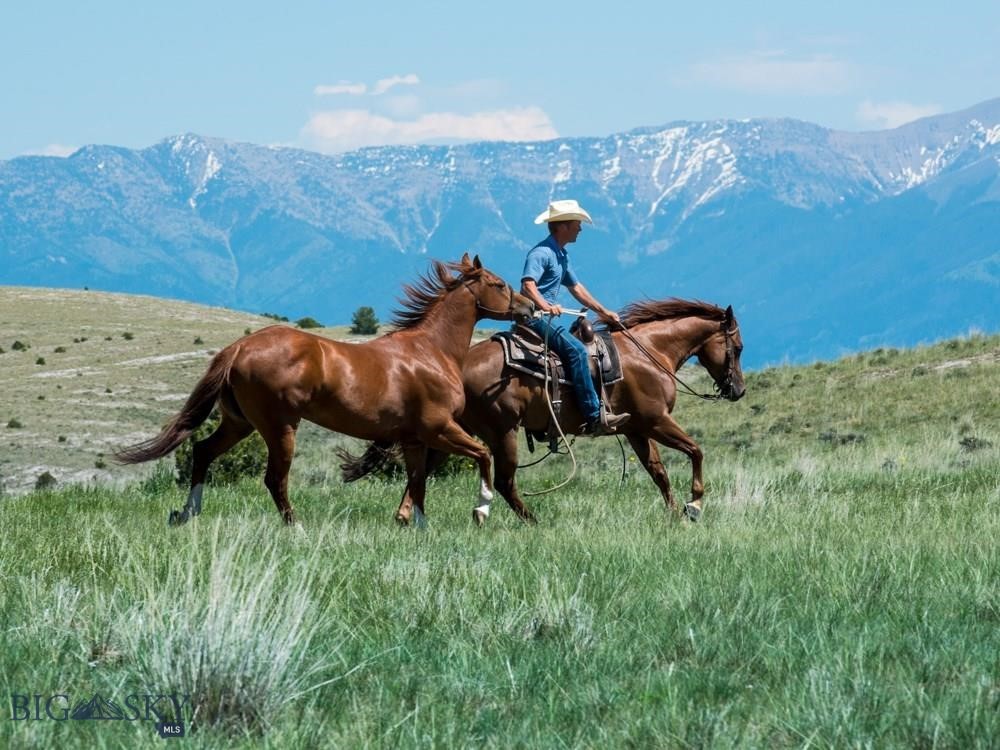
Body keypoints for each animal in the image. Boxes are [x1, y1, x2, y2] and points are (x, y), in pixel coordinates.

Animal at [115, 256, 540, 524]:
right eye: (499, 284)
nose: (529, 309)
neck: (430, 351)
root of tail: (239, 348)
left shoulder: (415, 439)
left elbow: (417, 484)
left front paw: (416, 525)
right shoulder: (439, 429)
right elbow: (483, 456)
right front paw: (481, 509)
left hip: (239, 423)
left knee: (203, 451)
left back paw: (187, 514)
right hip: (280, 427)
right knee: (274, 479)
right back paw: (296, 527)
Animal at [344, 298, 744, 524]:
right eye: (738, 347)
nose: (738, 390)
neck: (649, 353)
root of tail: (454, 365)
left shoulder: (636, 430)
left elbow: (658, 472)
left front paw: (675, 514)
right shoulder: (657, 421)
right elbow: (696, 451)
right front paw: (694, 505)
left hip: (450, 430)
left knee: (422, 471)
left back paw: (405, 516)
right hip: (499, 431)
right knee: (503, 481)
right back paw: (530, 521)